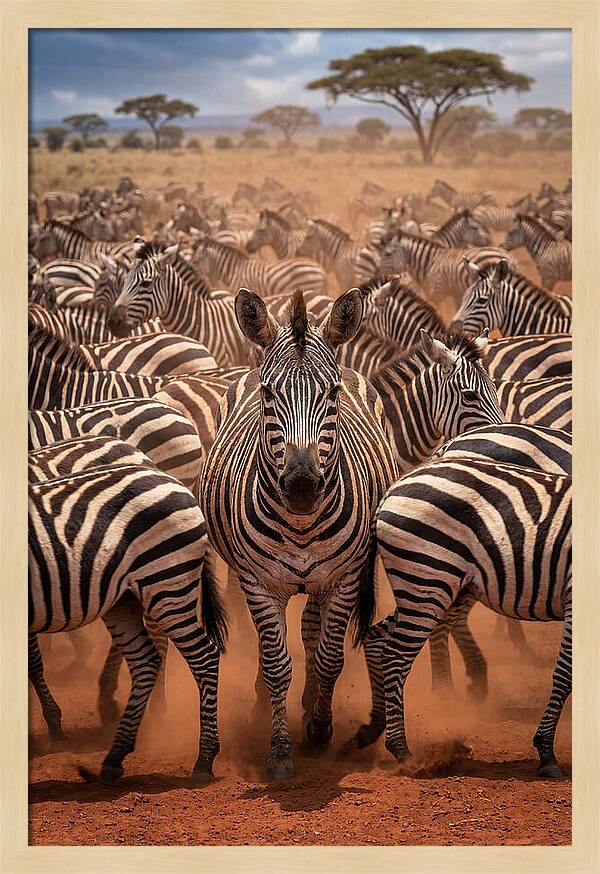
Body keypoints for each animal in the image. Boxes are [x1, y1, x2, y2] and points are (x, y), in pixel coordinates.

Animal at [29, 459, 227, 783]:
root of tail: (174, 482)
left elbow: (33, 662)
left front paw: (55, 727)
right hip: (125, 598)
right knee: (146, 660)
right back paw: (115, 755)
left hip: (166, 582)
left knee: (204, 657)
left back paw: (204, 760)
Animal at [201, 287, 398, 780]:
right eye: (269, 394)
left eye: (332, 393)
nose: (303, 486)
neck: (302, 525)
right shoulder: (258, 582)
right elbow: (275, 663)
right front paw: (279, 749)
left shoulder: (346, 577)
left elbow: (329, 656)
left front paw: (319, 729)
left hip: (326, 579)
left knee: (312, 628)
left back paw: (311, 705)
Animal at [360, 458, 571, 779]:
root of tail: (395, 487)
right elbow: (564, 674)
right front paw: (546, 752)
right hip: (427, 578)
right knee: (395, 657)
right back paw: (402, 751)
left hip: (429, 586)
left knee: (375, 638)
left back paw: (373, 728)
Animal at [379, 232, 517, 308]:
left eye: (387, 254)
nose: (378, 274)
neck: (429, 263)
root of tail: (509, 257)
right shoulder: (456, 293)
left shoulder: (436, 293)